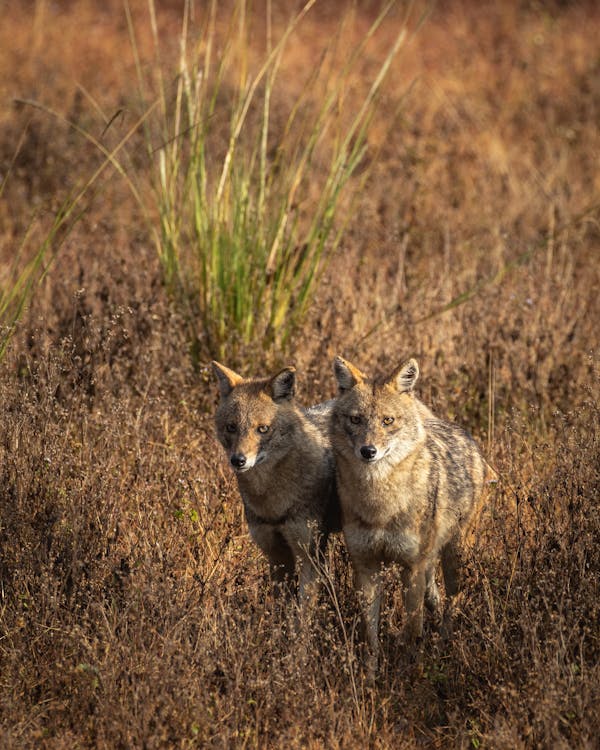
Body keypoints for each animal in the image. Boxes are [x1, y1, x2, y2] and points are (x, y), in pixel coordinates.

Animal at [213, 362, 340, 604]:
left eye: (263, 429)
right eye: (232, 427)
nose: (238, 460)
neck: (272, 503)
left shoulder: (309, 556)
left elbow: (303, 611)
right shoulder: (276, 555)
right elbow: (281, 607)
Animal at [330, 356, 494, 676]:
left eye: (387, 421)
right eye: (356, 420)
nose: (368, 451)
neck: (380, 506)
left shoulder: (411, 568)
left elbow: (411, 630)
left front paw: (411, 674)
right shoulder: (366, 568)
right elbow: (370, 634)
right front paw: (370, 676)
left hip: (453, 559)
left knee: (452, 601)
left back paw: (444, 644)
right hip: (429, 566)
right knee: (435, 598)